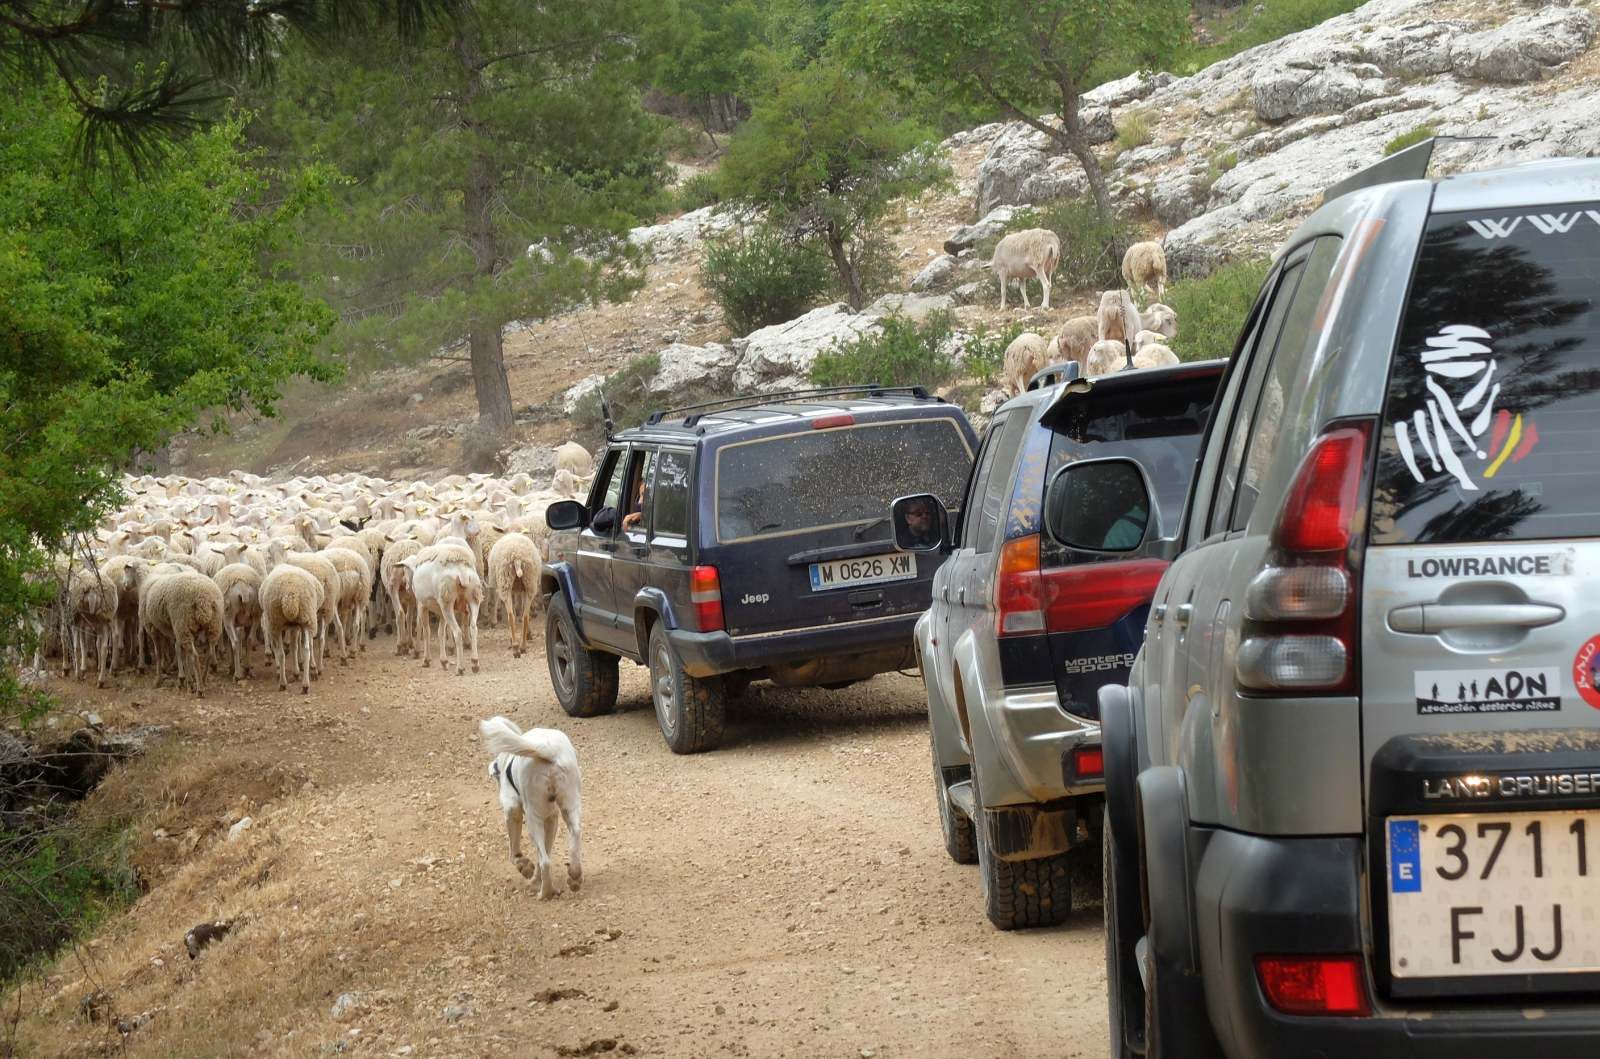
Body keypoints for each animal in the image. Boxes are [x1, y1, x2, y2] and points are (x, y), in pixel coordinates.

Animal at [476, 716, 585, 902]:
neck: (507, 760)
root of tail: (548, 750)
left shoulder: (513, 811)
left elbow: (515, 852)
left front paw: (524, 867)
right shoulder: (551, 819)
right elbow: (544, 852)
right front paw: (535, 878)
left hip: (533, 818)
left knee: (546, 862)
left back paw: (546, 893)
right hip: (570, 805)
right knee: (575, 834)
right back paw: (574, 874)